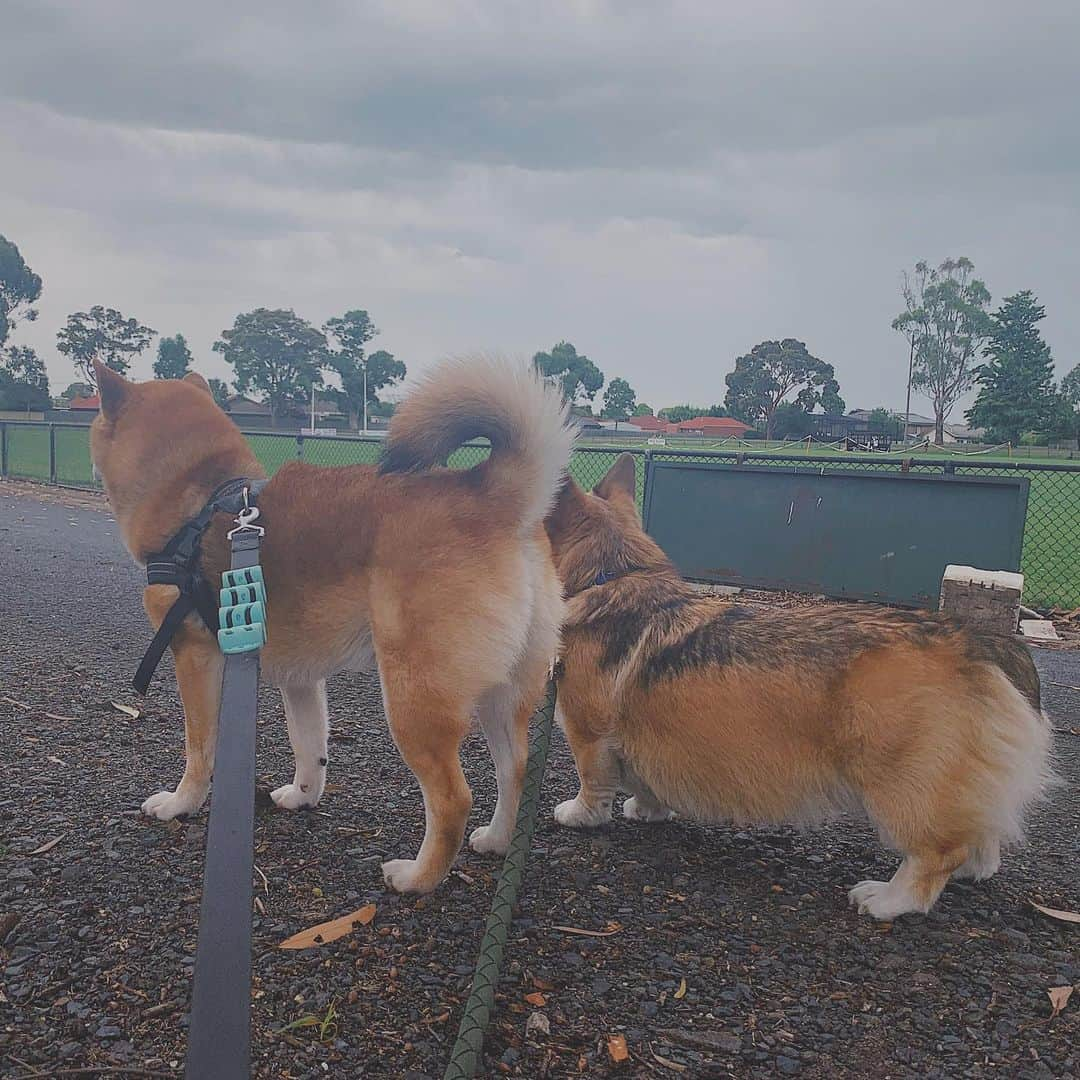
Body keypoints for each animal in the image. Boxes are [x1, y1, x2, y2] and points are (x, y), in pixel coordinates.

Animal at [90, 354, 574, 894]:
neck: (199, 498)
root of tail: (492, 496)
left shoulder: (195, 658)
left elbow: (199, 751)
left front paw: (181, 804)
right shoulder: (301, 678)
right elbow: (309, 745)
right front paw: (303, 795)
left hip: (414, 699)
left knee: (453, 799)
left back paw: (418, 877)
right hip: (500, 693)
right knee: (515, 770)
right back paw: (497, 839)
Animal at [544, 455, 1049, 920]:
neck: (613, 575)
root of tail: (982, 642)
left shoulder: (588, 734)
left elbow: (593, 784)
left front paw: (579, 816)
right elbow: (646, 781)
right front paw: (648, 809)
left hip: (903, 781)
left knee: (936, 853)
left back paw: (888, 899)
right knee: (981, 832)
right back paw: (971, 869)